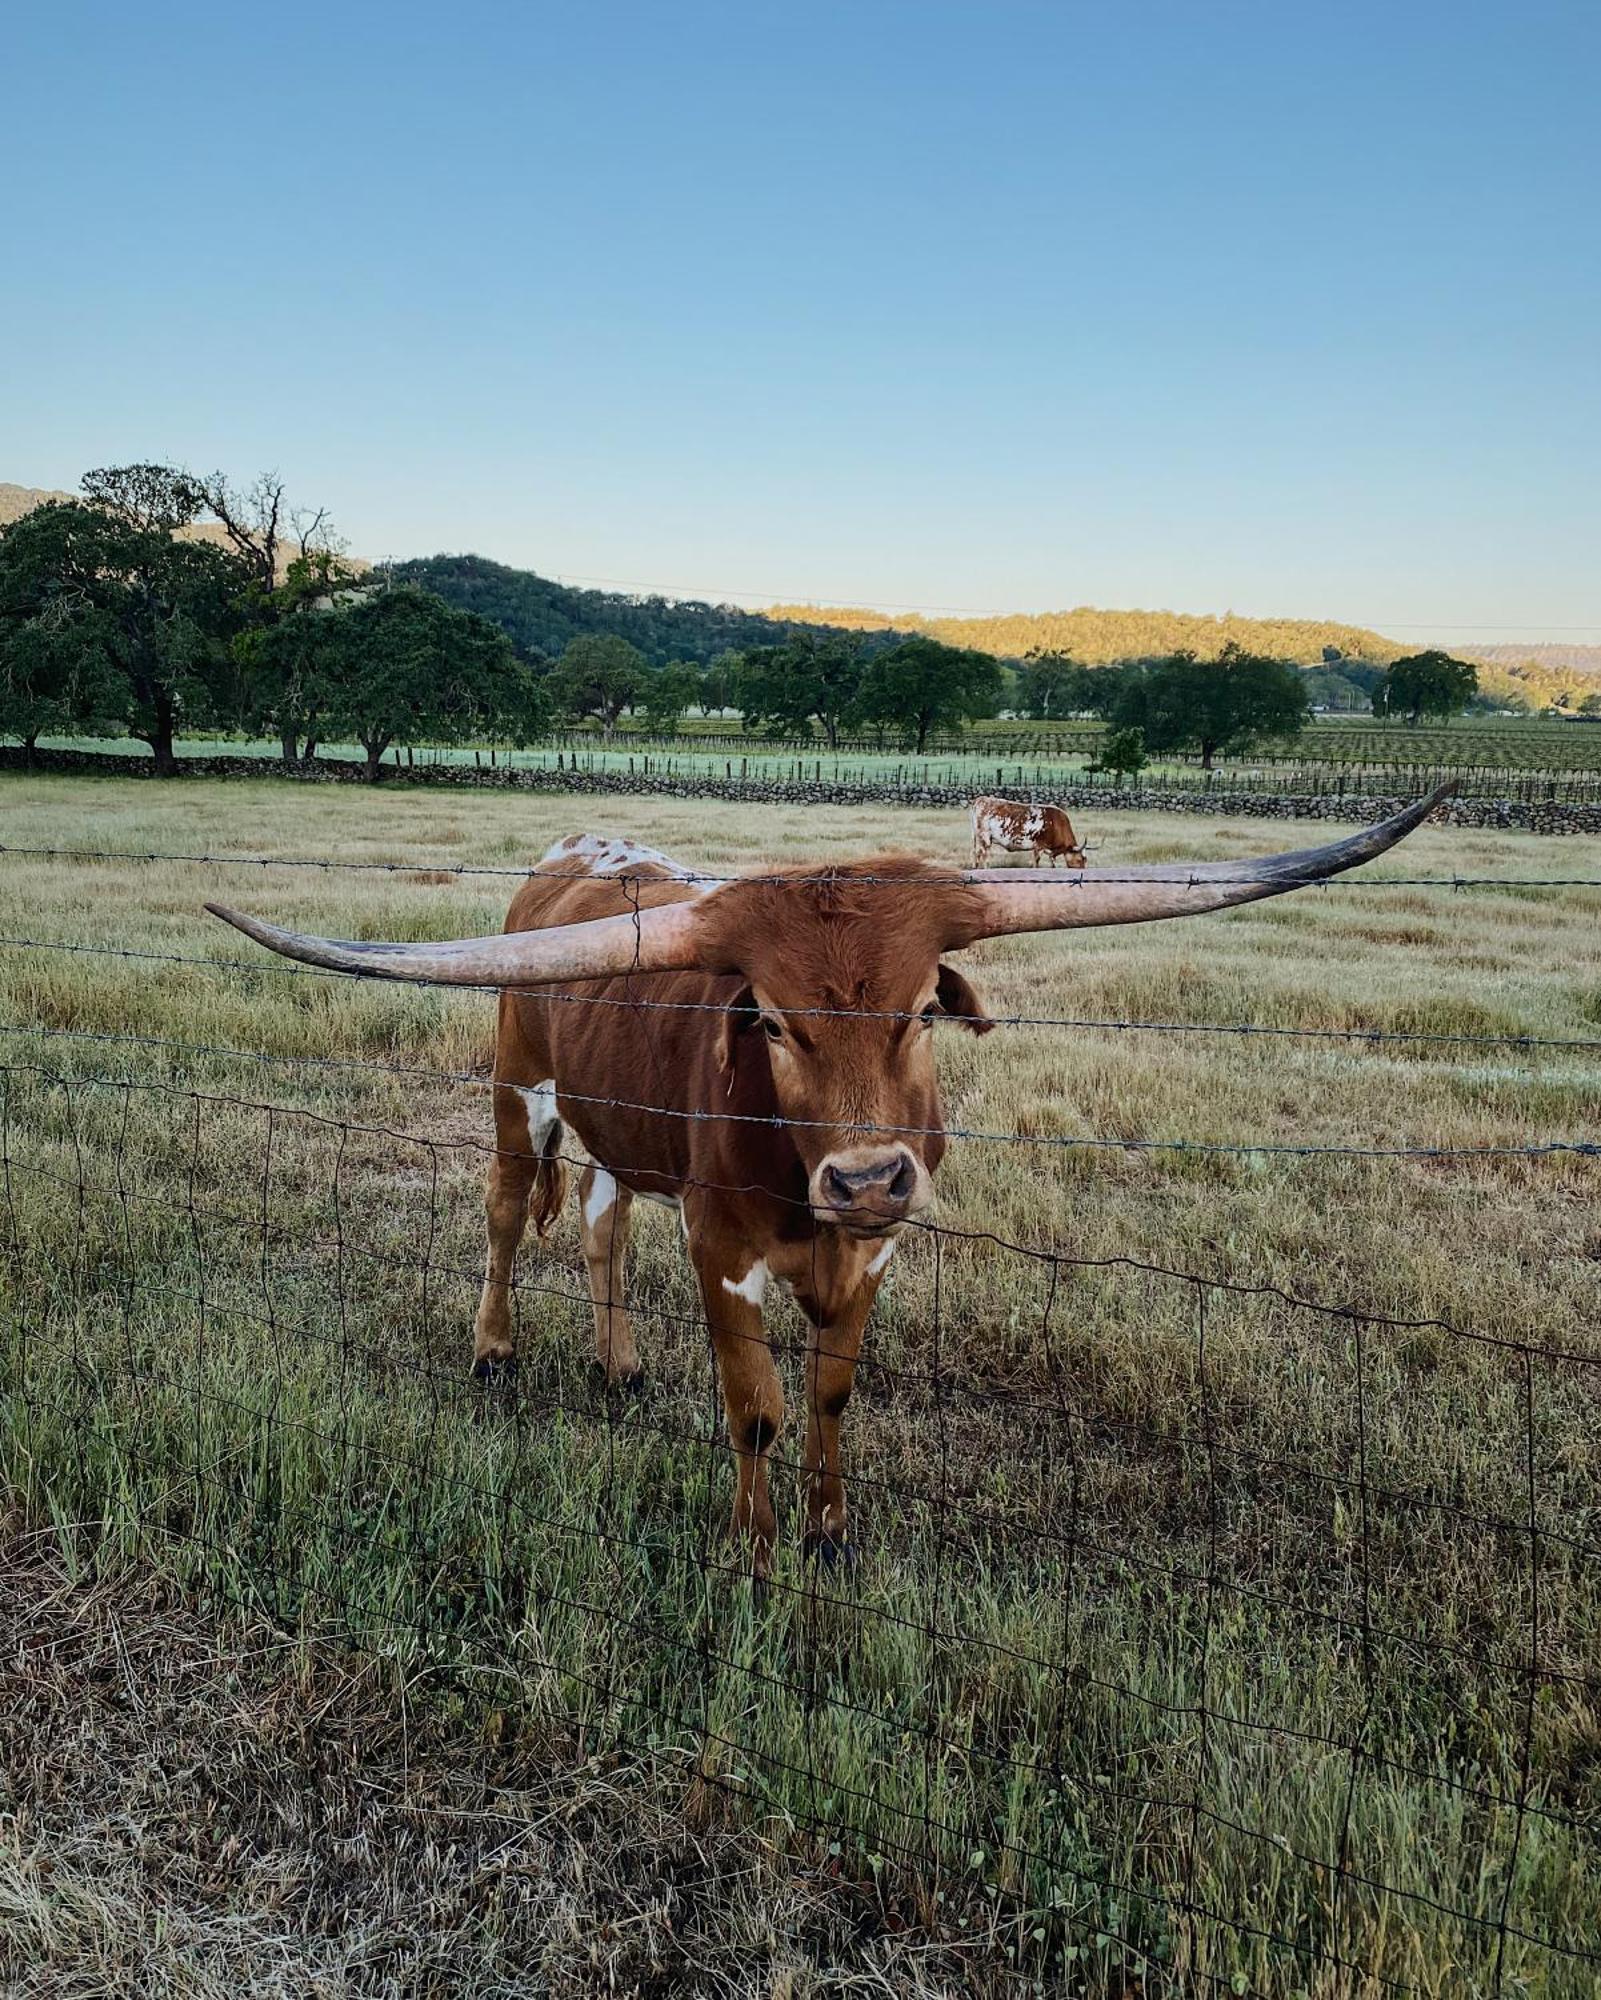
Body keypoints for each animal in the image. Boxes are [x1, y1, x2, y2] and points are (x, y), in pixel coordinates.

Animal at [209, 788, 1448, 1584]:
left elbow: (831, 1396)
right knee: (509, 1217)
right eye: (769, 1020)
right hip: (520, 1091)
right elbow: (754, 1410)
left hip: (620, 1136)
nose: (863, 1174)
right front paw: (756, 1555)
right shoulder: (721, 1252)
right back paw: (493, 1346)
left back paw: (618, 1364)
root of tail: (574, 852)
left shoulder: (874, 1256)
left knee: (603, 1230)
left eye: (917, 1008)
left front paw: (829, 1533)